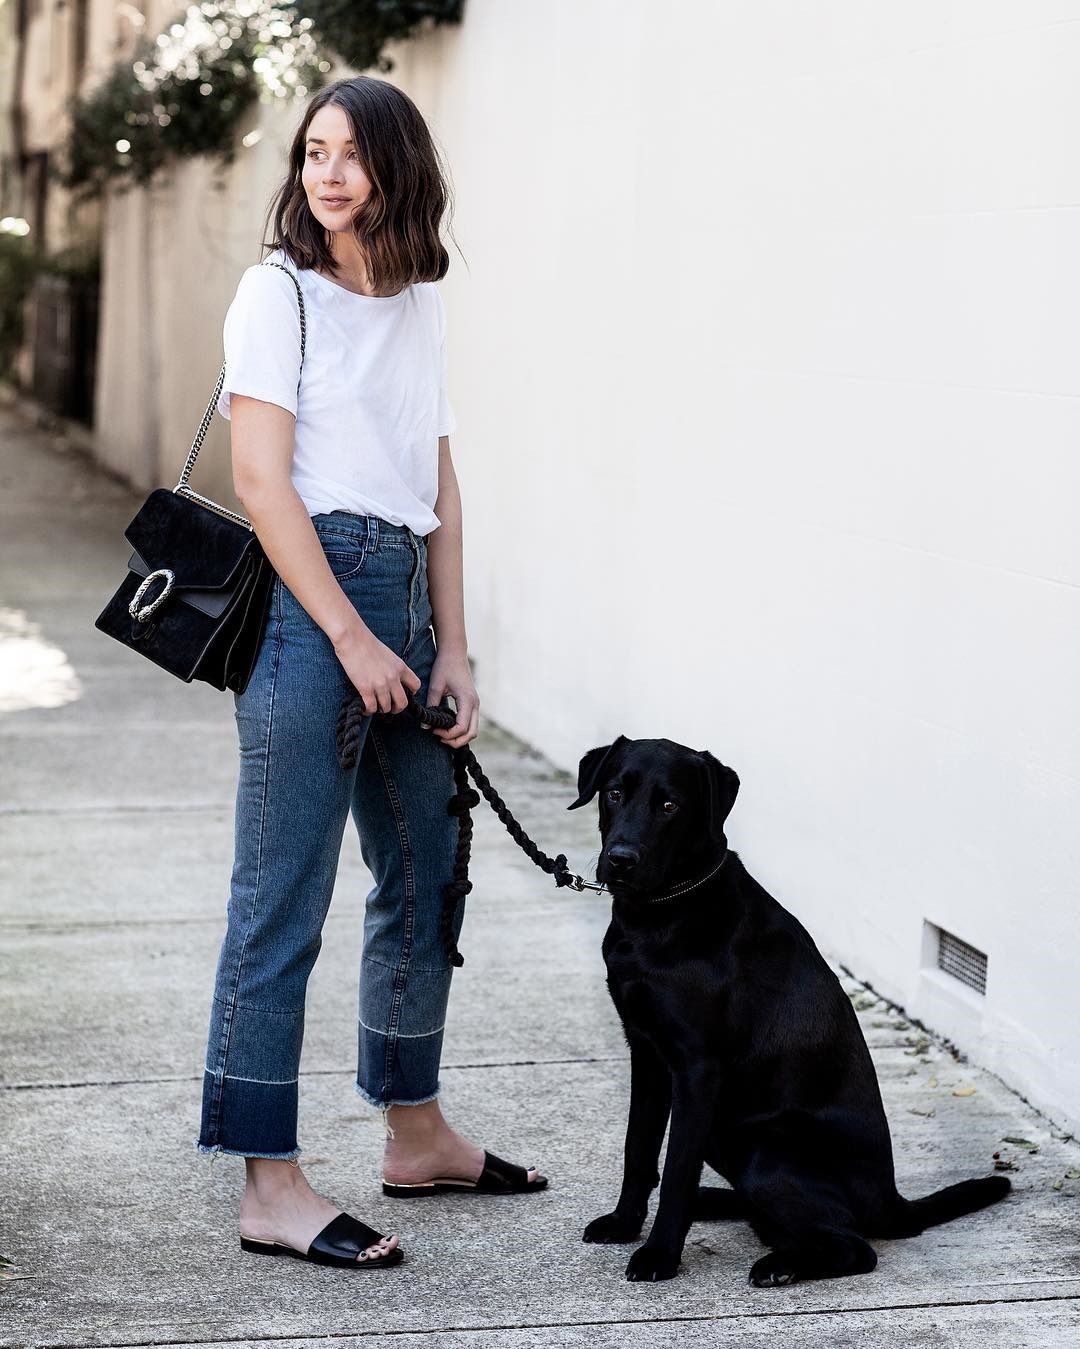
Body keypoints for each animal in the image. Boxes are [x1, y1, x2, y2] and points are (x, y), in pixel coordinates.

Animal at [568, 739, 1008, 1284]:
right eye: (613, 793)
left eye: (670, 805)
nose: (621, 860)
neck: (662, 913)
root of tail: (891, 1202)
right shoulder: (646, 1052)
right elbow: (639, 1147)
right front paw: (625, 1224)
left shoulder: (697, 1069)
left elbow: (674, 1171)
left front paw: (659, 1255)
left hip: (763, 1147)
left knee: (855, 1247)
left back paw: (779, 1265)